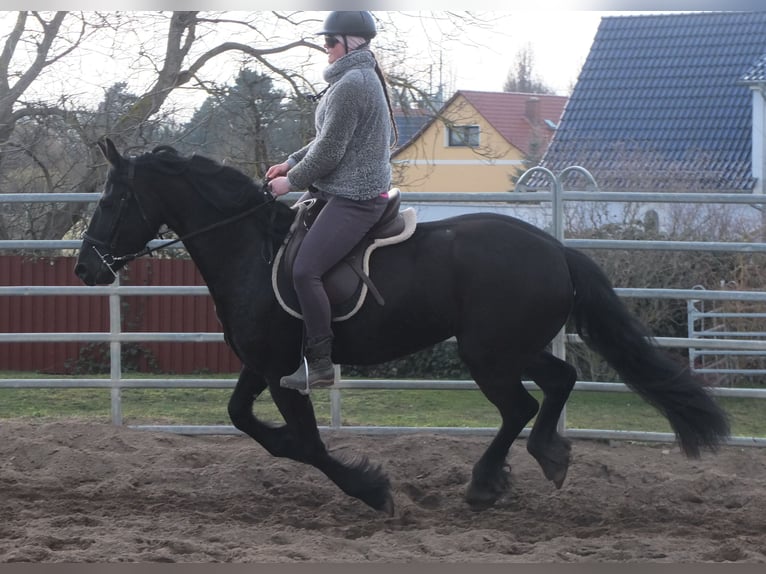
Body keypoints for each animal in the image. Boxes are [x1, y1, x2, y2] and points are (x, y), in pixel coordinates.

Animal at [76, 141, 732, 516]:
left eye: (110, 200)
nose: (85, 269)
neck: (251, 252)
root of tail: (555, 248)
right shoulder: (262, 365)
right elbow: (245, 420)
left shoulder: (287, 371)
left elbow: (307, 443)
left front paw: (371, 489)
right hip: (509, 348)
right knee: (560, 381)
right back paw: (547, 457)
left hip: (488, 354)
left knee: (521, 406)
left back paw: (487, 483)